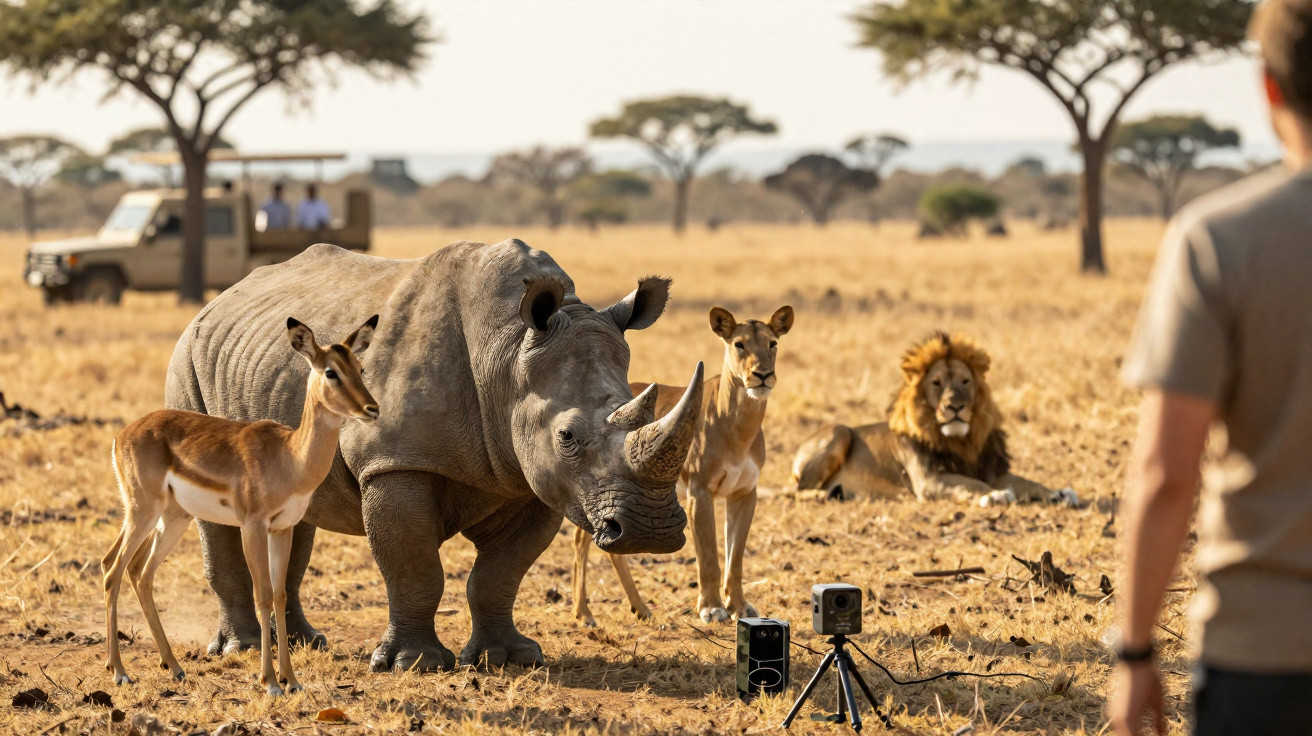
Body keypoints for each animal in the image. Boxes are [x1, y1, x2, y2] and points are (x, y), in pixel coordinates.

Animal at [789, 332, 1077, 506]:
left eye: (965, 381)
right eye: (937, 383)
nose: (955, 406)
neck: (961, 441)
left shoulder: (991, 469)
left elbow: (1026, 481)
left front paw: (1058, 493)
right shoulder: (929, 479)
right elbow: (970, 484)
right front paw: (994, 495)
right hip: (840, 432)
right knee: (797, 490)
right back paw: (827, 494)